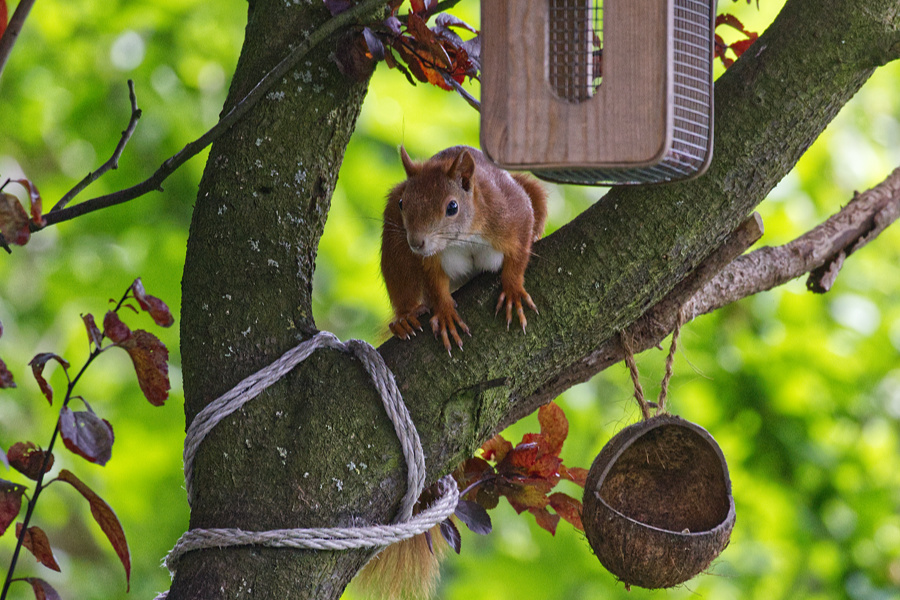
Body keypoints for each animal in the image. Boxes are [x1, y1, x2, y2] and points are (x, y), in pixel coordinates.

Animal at [381, 145, 548, 352]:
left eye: (452, 207)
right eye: (402, 203)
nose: (416, 243)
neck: (462, 239)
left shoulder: (511, 210)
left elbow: (519, 252)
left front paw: (513, 289)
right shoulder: (430, 257)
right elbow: (434, 283)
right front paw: (445, 312)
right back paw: (405, 317)